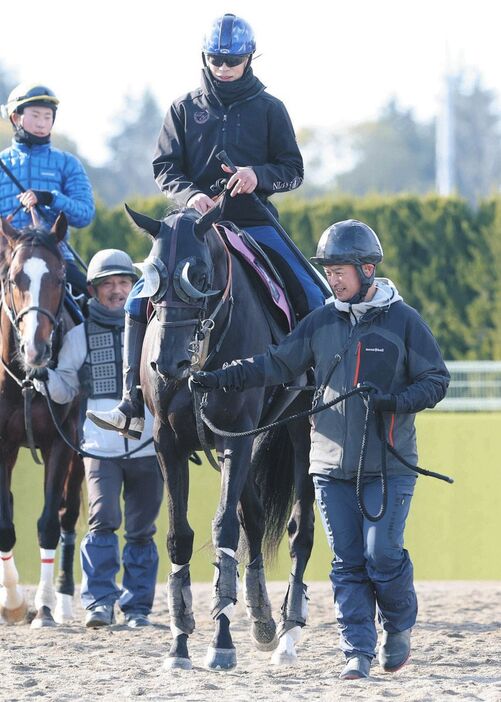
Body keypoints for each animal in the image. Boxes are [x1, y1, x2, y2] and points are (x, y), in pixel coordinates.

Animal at [126, 206, 312, 672]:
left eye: (201, 275)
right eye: (152, 275)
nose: (168, 362)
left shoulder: (237, 437)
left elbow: (224, 528)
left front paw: (222, 641)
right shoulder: (168, 443)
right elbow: (180, 536)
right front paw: (179, 642)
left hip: (302, 431)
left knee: (299, 531)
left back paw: (288, 633)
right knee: (256, 516)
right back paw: (262, 617)